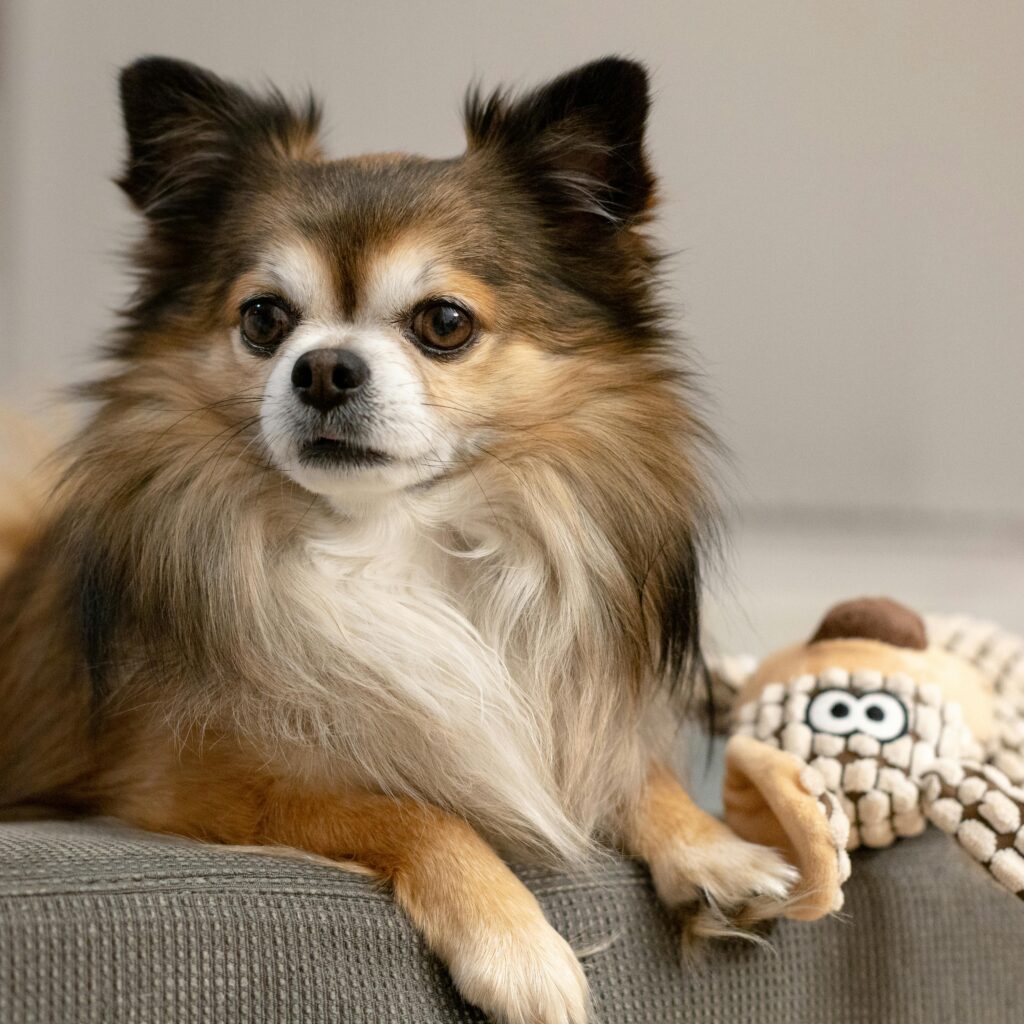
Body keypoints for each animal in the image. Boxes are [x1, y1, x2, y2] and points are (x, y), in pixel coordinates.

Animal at [0, 56, 794, 1024]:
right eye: (263, 319)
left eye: (444, 323)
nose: (323, 368)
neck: (388, 541)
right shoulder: (187, 783)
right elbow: (407, 810)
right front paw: (517, 945)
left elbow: (631, 769)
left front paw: (712, 849)